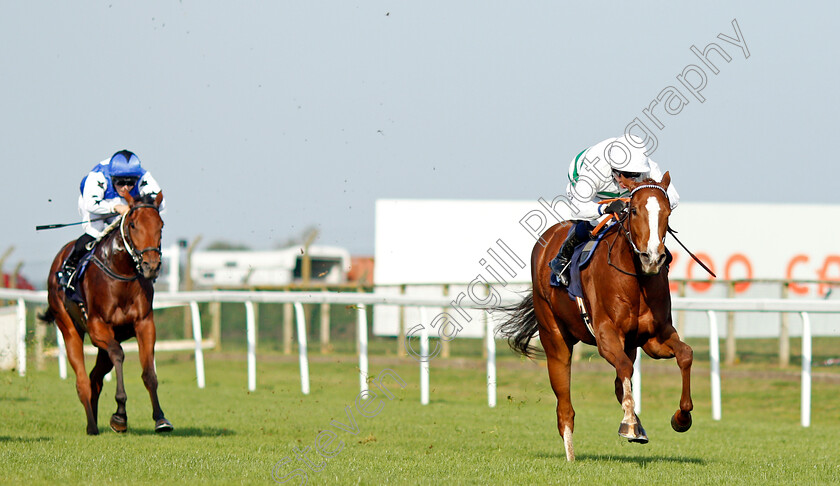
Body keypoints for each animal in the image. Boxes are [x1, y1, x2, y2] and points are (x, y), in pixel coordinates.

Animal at [39, 192, 172, 434]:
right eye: (133, 224)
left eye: (161, 225)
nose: (151, 266)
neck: (122, 273)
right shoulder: (97, 327)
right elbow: (119, 354)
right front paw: (120, 415)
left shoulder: (145, 324)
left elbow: (149, 372)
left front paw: (160, 418)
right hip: (69, 328)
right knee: (83, 380)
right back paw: (92, 426)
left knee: (95, 377)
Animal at [498, 173, 688, 462]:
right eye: (634, 210)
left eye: (667, 212)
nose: (653, 258)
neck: (637, 279)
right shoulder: (605, 335)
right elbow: (624, 369)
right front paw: (629, 425)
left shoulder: (654, 337)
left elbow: (684, 354)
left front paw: (681, 417)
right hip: (554, 337)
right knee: (565, 406)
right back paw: (571, 455)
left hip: (629, 344)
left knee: (620, 382)